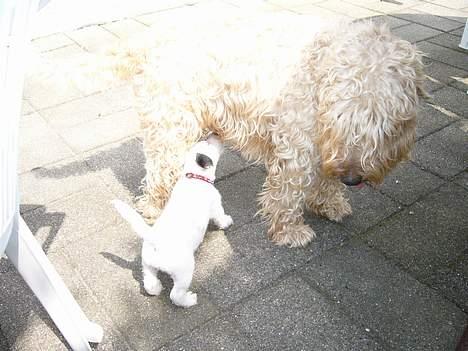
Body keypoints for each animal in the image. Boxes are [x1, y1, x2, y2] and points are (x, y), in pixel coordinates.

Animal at [90, 15, 424, 248]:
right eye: (341, 119)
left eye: (383, 128)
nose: (353, 179)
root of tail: (151, 37)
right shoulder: (298, 148)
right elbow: (288, 192)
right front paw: (290, 231)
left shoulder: (325, 149)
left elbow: (326, 180)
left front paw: (330, 203)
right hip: (171, 123)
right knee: (160, 168)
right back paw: (154, 206)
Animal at [111, 135, 232, 308]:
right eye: (208, 143)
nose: (214, 134)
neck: (194, 176)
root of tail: (154, 239)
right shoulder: (216, 205)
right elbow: (220, 216)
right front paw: (227, 222)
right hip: (184, 272)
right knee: (175, 295)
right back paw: (189, 300)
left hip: (147, 264)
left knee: (149, 281)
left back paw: (156, 288)